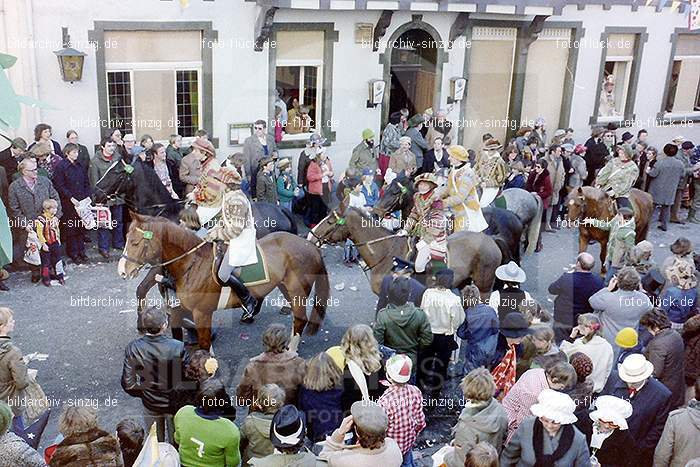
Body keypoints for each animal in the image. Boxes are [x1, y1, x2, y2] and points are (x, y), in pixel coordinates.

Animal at [117, 214, 330, 350]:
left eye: (135, 242)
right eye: (126, 238)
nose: (122, 271)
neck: (191, 263)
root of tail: (310, 245)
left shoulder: (202, 313)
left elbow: (204, 344)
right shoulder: (179, 309)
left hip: (297, 291)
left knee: (300, 319)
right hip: (285, 287)